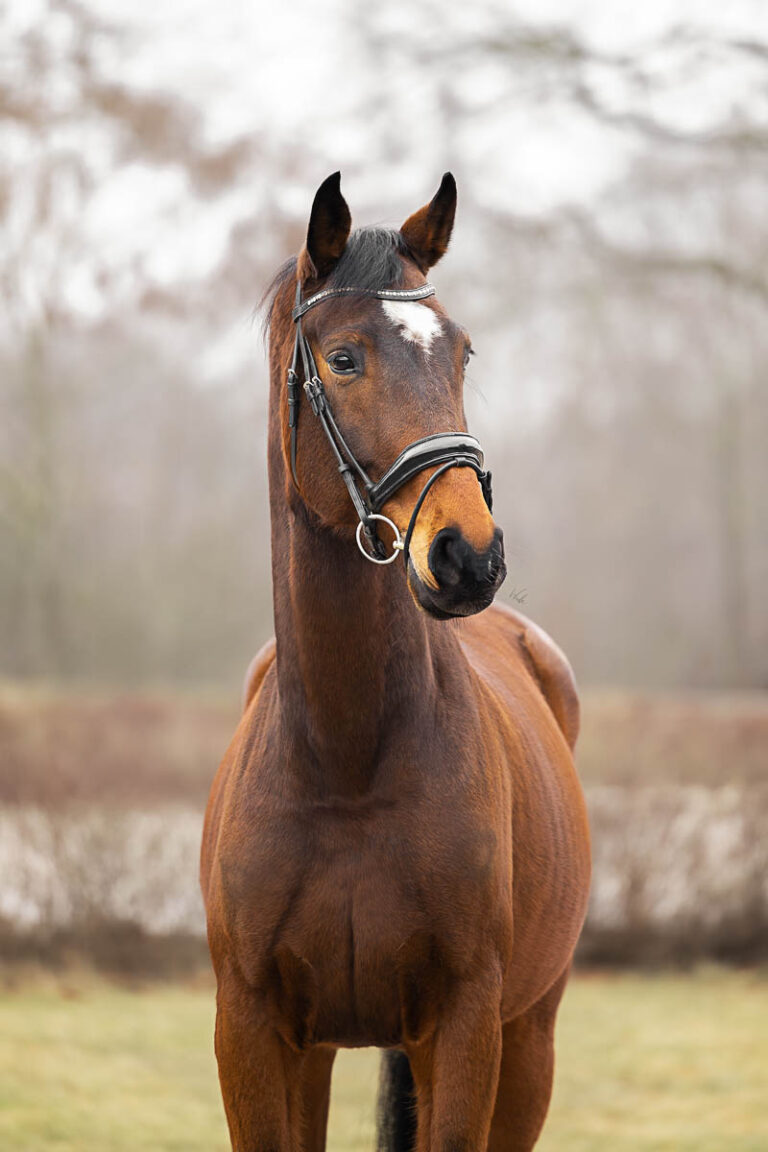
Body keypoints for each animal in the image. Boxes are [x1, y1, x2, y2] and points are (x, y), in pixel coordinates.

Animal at [201, 171, 591, 1152]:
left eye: (461, 353)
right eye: (343, 359)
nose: (468, 556)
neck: (347, 765)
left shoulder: (465, 1026)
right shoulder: (255, 1033)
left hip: (529, 1038)